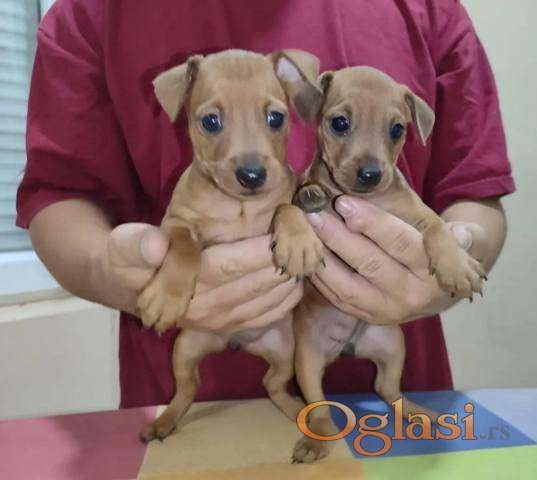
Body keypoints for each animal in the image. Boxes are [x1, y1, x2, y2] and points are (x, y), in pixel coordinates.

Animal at [137, 49, 325, 442]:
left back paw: (297, 411)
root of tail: (235, 341)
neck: (239, 207)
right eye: (210, 122)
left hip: (285, 351)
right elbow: (183, 246)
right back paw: (164, 420)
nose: (252, 175)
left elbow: (287, 206)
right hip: (184, 350)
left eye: (275, 118)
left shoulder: (290, 192)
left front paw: (298, 242)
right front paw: (167, 294)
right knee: (187, 389)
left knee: (272, 384)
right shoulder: (175, 223)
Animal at [291, 66, 487, 463]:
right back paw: (316, 440)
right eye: (339, 123)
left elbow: (438, 227)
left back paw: (419, 414)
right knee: (318, 408)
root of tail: (347, 347)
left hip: (393, 346)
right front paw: (309, 204)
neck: (368, 199)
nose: (370, 174)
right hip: (306, 361)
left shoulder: (417, 216)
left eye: (397, 129)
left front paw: (457, 265)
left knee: (387, 389)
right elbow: (293, 204)